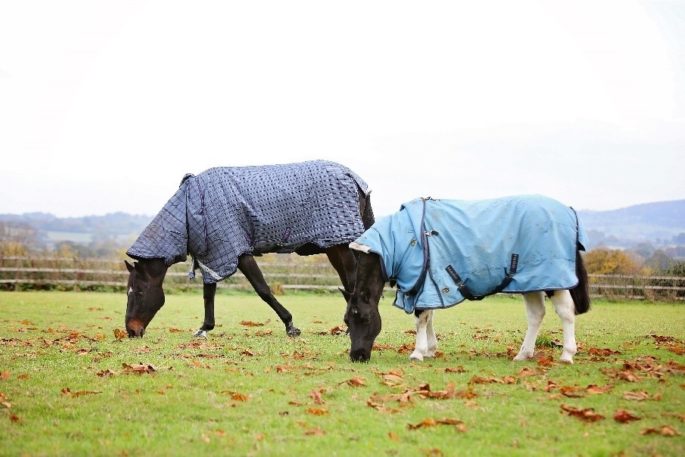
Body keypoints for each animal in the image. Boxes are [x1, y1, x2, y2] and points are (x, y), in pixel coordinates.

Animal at [344, 195, 592, 364]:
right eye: (347, 321)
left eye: (364, 318)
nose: (357, 356)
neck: (405, 238)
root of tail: (568, 211)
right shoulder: (430, 283)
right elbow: (429, 316)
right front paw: (430, 349)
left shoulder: (425, 281)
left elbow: (421, 318)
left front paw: (417, 353)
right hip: (532, 280)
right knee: (536, 315)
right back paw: (523, 354)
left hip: (553, 279)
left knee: (566, 312)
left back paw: (567, 354)